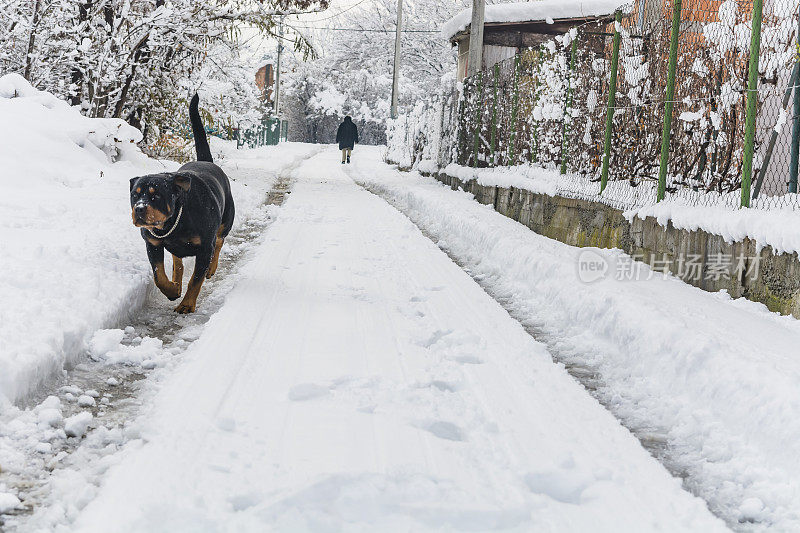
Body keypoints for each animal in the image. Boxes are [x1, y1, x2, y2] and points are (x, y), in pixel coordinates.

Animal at [130, 94, 234, 312]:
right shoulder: (152, 243)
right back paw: (176, 282)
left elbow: (196, 279)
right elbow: (158, 275)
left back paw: (212, 268)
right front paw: (171, 290)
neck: (174, 222)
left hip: (226, 220)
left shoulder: (204, 249)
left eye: (156, 195)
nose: (140, 209)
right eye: (135, 195)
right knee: (177, 261)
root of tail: (207, 162)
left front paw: (187, 304)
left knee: (219, 241)